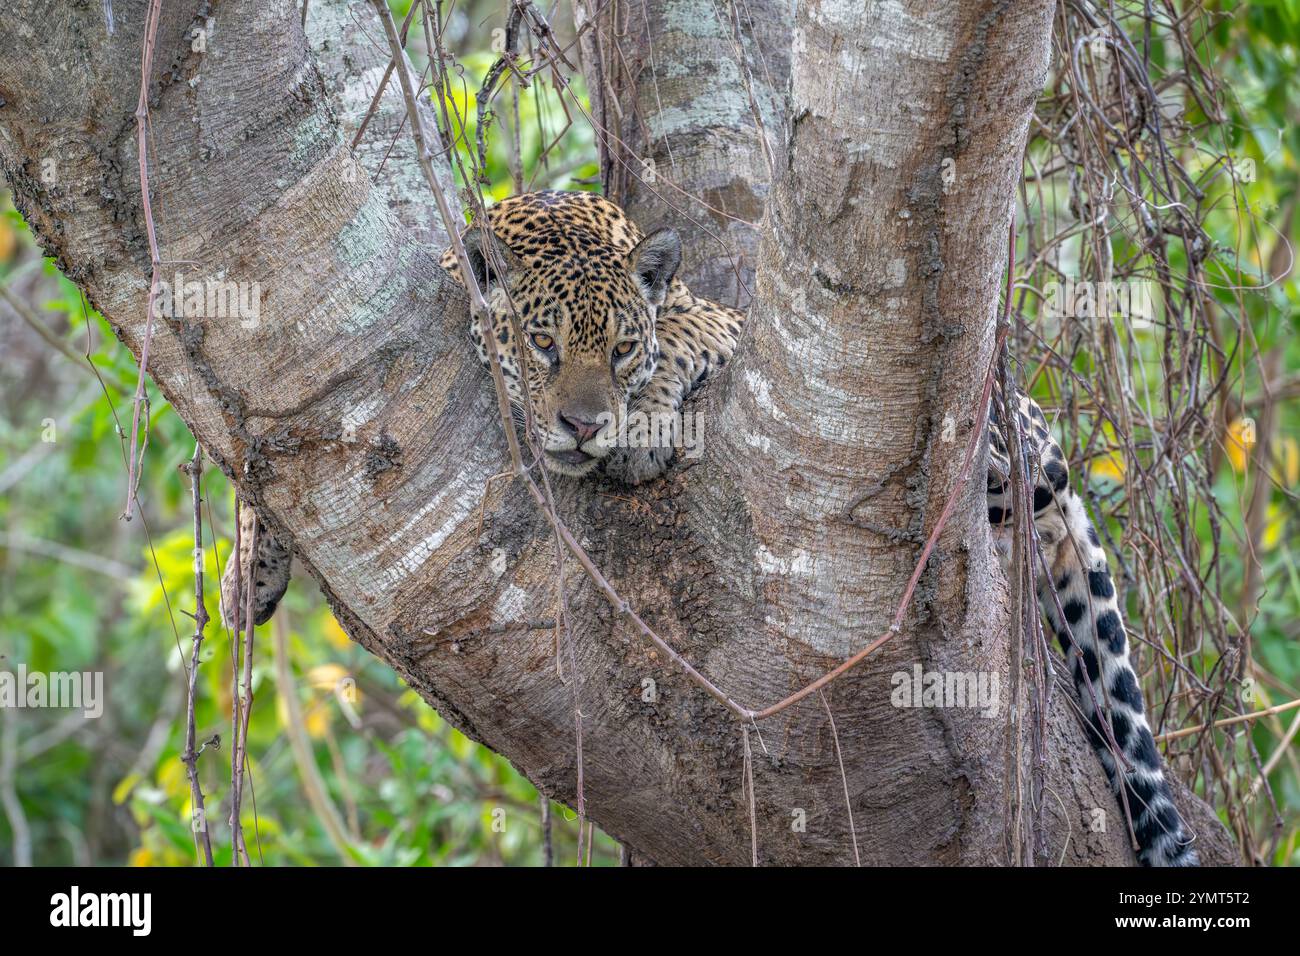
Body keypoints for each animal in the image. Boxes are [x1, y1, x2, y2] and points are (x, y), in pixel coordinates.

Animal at [220, 189, 1195, 866]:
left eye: (618, 348)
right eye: (541, 345)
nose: (581, 425)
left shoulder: (712, 318)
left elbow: (685, 337)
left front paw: (643, 428)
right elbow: (261, 461)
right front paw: (244, 576)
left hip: (1000, 433)